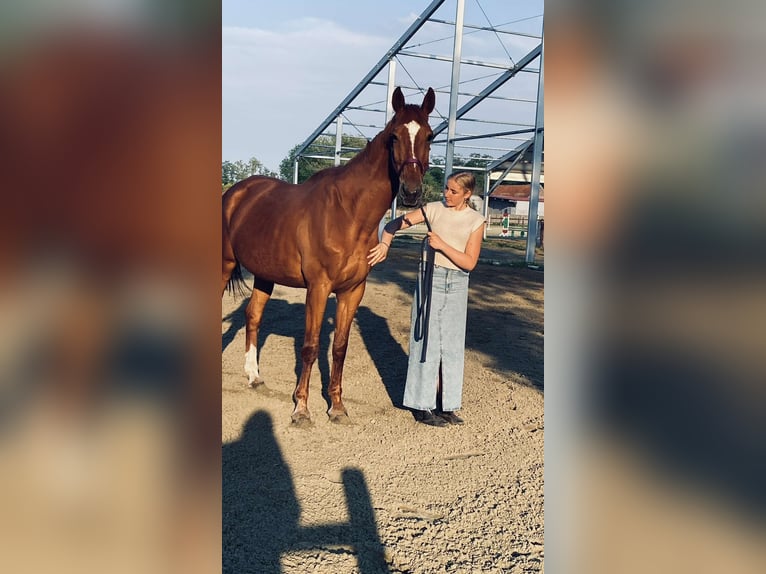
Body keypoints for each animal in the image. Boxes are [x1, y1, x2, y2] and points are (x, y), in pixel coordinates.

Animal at [225, 88, 436, 426]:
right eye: (394, 136)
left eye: (430, 136)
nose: (412, 192)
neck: (348, 213)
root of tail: (237, 192)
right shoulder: (318, 288)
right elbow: (310, 347)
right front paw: (301, 409)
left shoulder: (353, 291)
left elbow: (339, 347)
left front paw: (336, 406)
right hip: (224, 263)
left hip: (264, 275)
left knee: (253, 316)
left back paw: (254, 377)